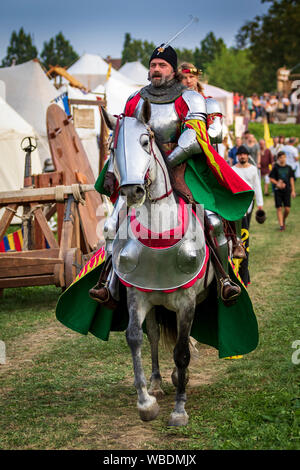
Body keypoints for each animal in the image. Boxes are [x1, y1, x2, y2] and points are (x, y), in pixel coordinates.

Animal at [103, 102, 216, 426]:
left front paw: (179, 410)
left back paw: (180, 378)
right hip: (154, 304)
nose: (132, 192)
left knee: (182, 340)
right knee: (153, 335)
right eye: (113, 149)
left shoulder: (187, 301)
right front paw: (146, 402)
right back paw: (156, 382)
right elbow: (134, 338)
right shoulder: (136, 295)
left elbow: (181, 351)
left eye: (145, 141)